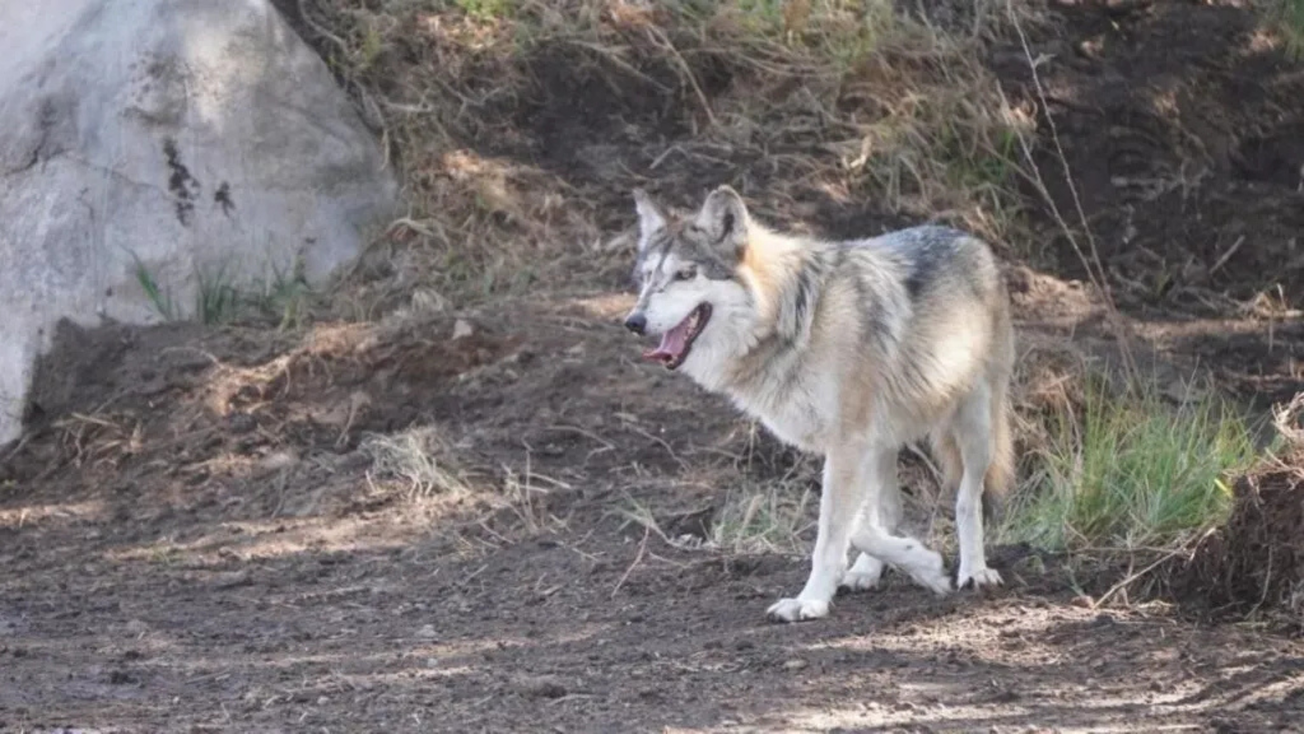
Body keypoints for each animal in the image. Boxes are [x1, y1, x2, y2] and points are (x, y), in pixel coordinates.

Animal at [621, 185, 1016, 623]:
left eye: (685, 275)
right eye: (647, 277)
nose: (633, 322)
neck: (796, 320)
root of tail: (969, 238)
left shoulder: (849, 444)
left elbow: (834, 532)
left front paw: (809, 600)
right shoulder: (854, 445)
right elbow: (856, 525)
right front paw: (921, 563)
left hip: (975, 427)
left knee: (967, 499)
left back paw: (974, 570)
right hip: (886, 443)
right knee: (890, 510)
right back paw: (868, 572)